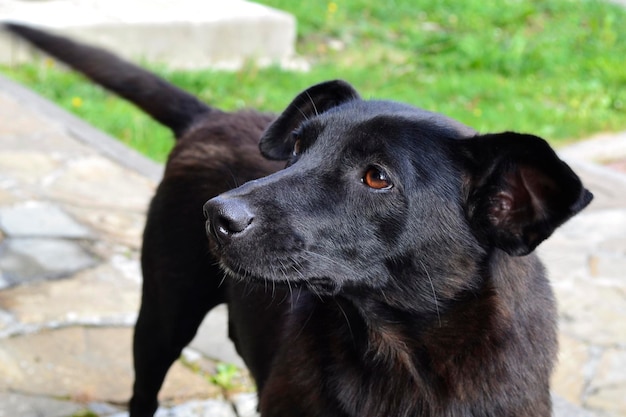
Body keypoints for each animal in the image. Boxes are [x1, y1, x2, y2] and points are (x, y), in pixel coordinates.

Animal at [6, 23, 588, 416]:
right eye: (297, 149)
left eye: (376, 177)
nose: (216, 215)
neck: (401, 357)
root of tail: (211, 115)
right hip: (162, 316)